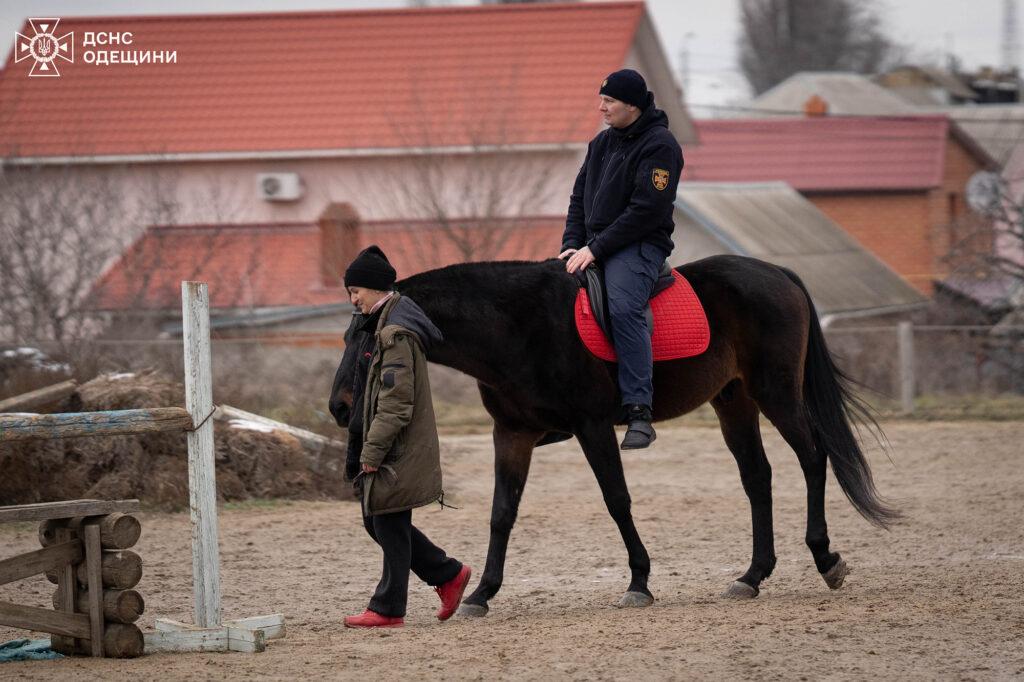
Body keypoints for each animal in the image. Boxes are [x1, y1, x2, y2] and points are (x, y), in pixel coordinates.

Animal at [331, 251, 892, 614]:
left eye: (368, 344)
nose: (339, 408)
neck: (519, 326)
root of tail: (777, 273)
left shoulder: (593, 426)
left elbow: (616, 500)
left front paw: (639, 581)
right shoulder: (512, 434)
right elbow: (502, 513)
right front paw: (480, 593)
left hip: (775, 392)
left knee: (813, 457)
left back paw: (825, 557)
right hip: (733, 401)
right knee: (758, 477)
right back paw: (751, 577)